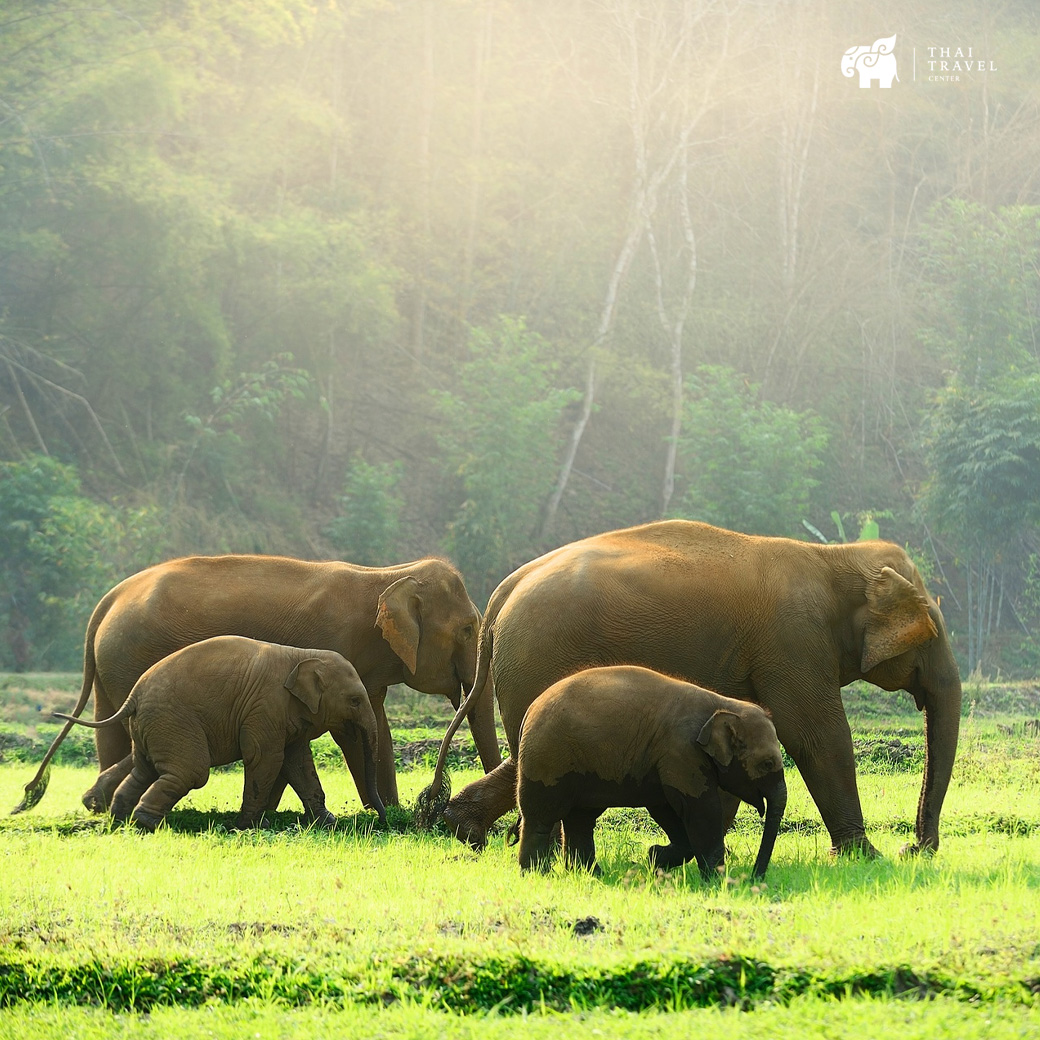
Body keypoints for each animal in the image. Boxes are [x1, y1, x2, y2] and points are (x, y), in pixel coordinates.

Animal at [16, 553, 499, 811]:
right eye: (467, 631)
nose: (433, 800)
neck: (385, 574)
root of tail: (110, 597)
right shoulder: (334, 646)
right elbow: (347, 734)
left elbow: (374, 724)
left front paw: (391, 813)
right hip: (127, 652)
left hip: (112, 660)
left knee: (111, 726)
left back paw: (98, 805)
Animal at [53, 628, 386, 832]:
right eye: (355, 700)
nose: (381, 819)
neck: (302, 654)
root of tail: (133, 696)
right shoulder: (264, 708)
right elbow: (265, 759)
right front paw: (250, 827)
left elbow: (299, 762)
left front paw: (328, 824)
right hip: (173, 721)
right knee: (191, 772)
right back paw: (148, 824)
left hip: (151, 726)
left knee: (144, 769)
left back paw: (121, 821)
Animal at [420, 520, 956, 852]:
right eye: (932, 632)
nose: (915, 847)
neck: (836, 558)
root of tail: (502, 593)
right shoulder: (793, 641)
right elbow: (815, 735)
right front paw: (864, 856)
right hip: (539, 656)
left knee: (525, 753)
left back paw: (463, 828)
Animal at [515, 665, 782, 877]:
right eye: (767, 764)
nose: (754, 878)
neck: (724, 704)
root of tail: (531, 708)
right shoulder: (681, 752)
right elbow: (699, 808)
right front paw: (716, 880)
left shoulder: (665, 760)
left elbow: (665, 807)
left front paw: (655, 858)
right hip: (548, 759)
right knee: (542, 815)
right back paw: (537, 874)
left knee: (580, 819)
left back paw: (591, 874)